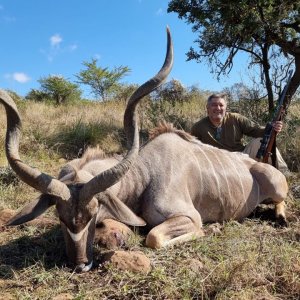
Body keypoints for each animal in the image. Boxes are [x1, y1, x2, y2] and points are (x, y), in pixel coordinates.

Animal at [0, 28, 288, 272]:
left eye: (93, 214)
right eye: (60, 216)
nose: (80, 264)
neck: (146, 174)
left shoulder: (187, 216)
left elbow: (153, 237)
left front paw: (211, 228)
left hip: (277, 187)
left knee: (282, 200)